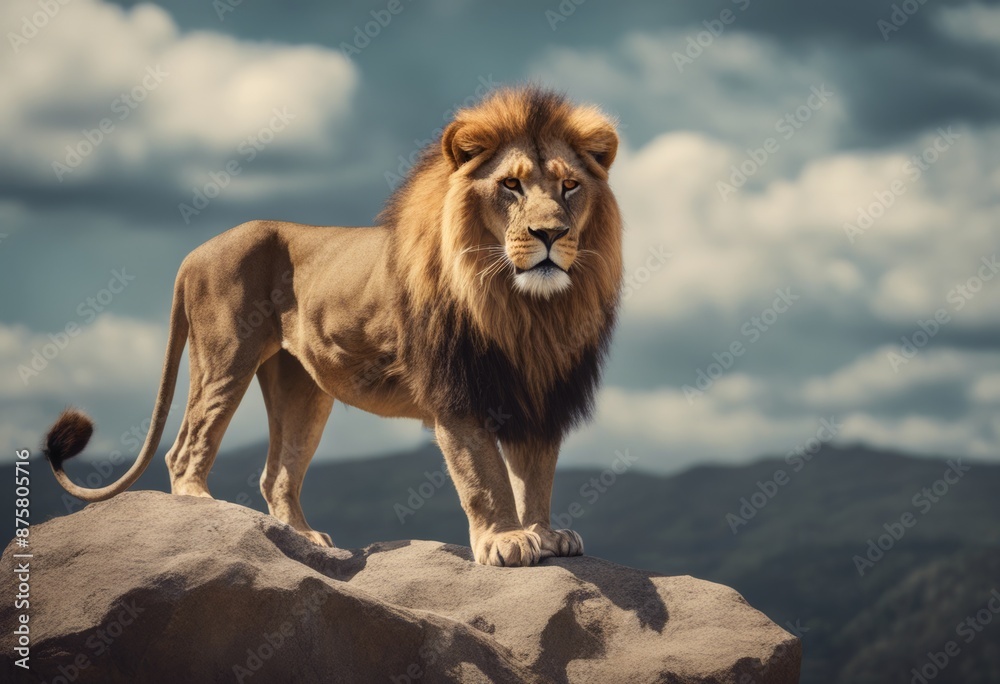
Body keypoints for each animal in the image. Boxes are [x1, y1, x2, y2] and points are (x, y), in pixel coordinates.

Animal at [43, 86, 623, 567]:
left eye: (569, 186)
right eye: (510, 185)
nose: (550, 233)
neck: (525, 309)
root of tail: (195, 252)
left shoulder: (543, 392)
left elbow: (535, 473)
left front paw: (543, 534)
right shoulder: (456, 394)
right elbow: (485, 475)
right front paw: (505, 540)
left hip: (301, 386)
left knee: (276, 474)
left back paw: (302, 538)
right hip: (224, 356)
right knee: (186, 447)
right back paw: (201, 507)